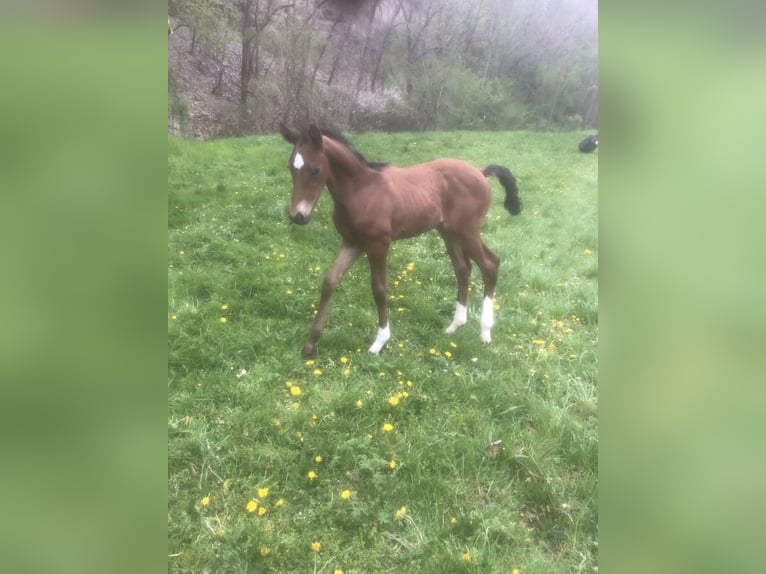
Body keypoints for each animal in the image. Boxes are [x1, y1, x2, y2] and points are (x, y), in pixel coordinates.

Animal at [280, 126, 524, 356]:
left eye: (316, 170)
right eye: (291, 168)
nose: (298, 216)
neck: (361, 190)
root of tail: (480, 172)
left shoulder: (378, 244)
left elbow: (379, 289)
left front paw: (379, 342)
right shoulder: (352, 242)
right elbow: (330, 282)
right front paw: (310, 343)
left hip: (468, 231)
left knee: (490, 264)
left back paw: (485, 332)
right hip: (448, 232)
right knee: (463, 269)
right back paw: (455, 325)